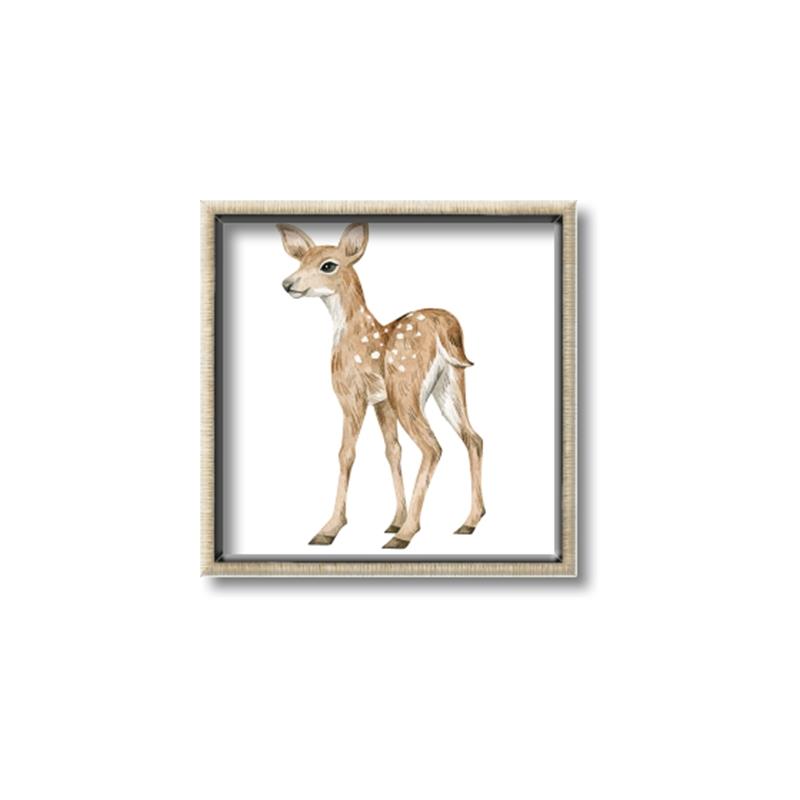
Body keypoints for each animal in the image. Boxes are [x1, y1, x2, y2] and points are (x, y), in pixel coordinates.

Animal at [278, 222, 485, 549]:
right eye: (300, 260)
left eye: (327, 265)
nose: (288, 283)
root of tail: (443, 326)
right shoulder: (381, 401)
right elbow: (393, 450)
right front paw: (394, 519)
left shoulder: (352, 395)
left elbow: (346, 453)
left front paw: (330, 528)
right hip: (450, 383)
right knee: (473, 438)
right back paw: (468, 522)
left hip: (406, 387)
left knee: (433, 447)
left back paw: (407, 534)